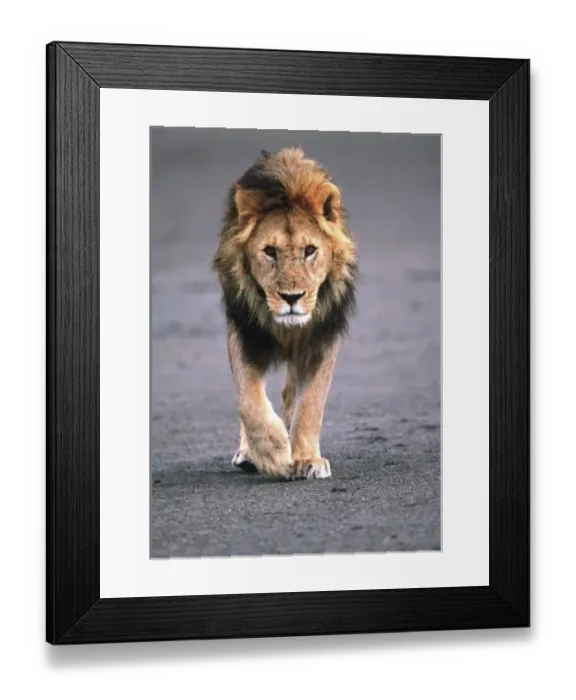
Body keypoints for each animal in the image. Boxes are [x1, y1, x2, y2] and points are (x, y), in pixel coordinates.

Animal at [212, 147, 357, 480]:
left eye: (310, 250)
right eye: (269, 251)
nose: (292, 297)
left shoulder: (321, 341)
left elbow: (311, 405)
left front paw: (306, 458)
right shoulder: (244, 334)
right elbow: (249, 401)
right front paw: (272, 453)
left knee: (291, 394)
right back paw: (249, 453)